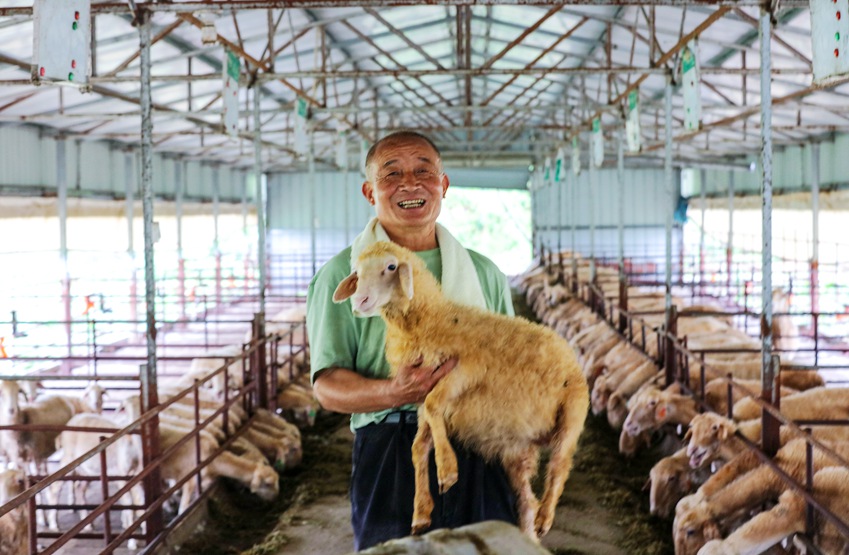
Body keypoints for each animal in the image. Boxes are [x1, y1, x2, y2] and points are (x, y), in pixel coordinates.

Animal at [332, 241, 588, 540]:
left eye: (391, 266)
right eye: (357, 272)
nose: (360, 301)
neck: (431, 320)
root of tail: (565, 347)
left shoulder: (464, 370)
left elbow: (434, 406)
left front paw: (447, 470)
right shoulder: (423, 392)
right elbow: (419, 445)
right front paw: (421, 511)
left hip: (572, 413)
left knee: (560, 464)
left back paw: (546, 516)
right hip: (517, 451)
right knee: (526, 502)